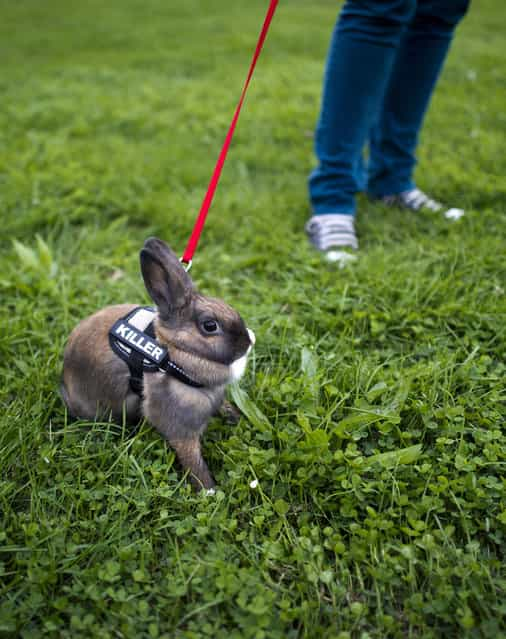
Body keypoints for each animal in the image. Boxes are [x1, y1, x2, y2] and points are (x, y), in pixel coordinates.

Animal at [61, 238, 255, 492]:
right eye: (210, 326)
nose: (249, 341)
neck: (173, 352)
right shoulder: (180, 430)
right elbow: (193, 460)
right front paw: (208, 489)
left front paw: (236, 417)